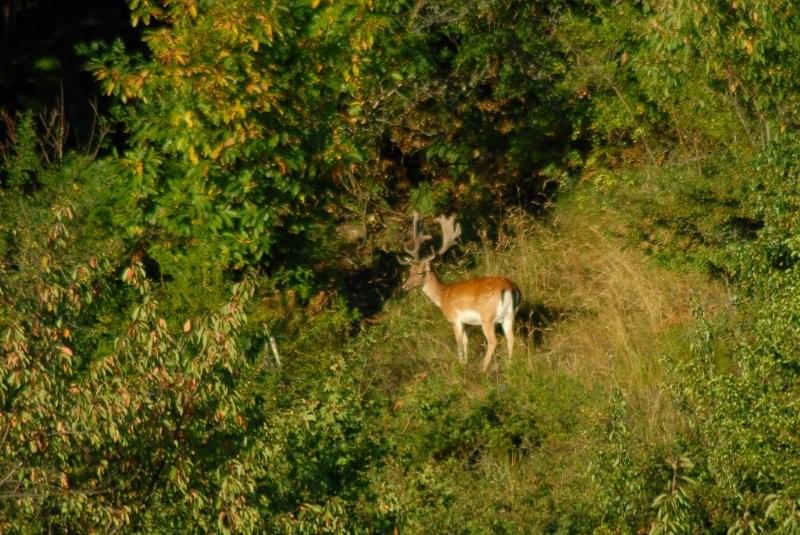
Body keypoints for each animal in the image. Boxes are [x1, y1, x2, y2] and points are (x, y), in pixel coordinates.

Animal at [400, 211, 524, 370]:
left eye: (420, 273)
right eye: (410, 271)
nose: (404, 287)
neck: (442, 296)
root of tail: (510, 288)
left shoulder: (456, 318)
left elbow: (458, 342)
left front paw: (459, 365)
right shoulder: (466, 322)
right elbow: (465, 341)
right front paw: (465, 363)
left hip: (487, 316)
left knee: (493, 341)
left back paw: (483, 369)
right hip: (509, 316)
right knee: (511, 338)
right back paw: (509, 365)